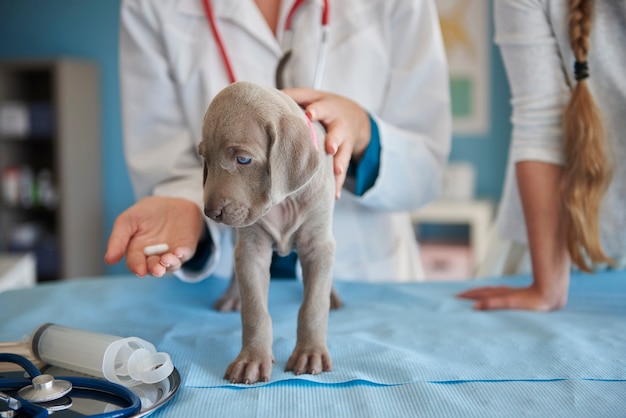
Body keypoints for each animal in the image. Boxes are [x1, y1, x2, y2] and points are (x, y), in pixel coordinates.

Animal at [199, 80, 342, 384]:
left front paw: (310, 353)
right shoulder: (252, 250)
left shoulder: (317, 244)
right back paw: (231, 297)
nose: (211, 213)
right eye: (204, 158)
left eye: (243, 159)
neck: (284, 201)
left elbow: (313, 306)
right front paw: (251, 360)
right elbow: (254, 311)